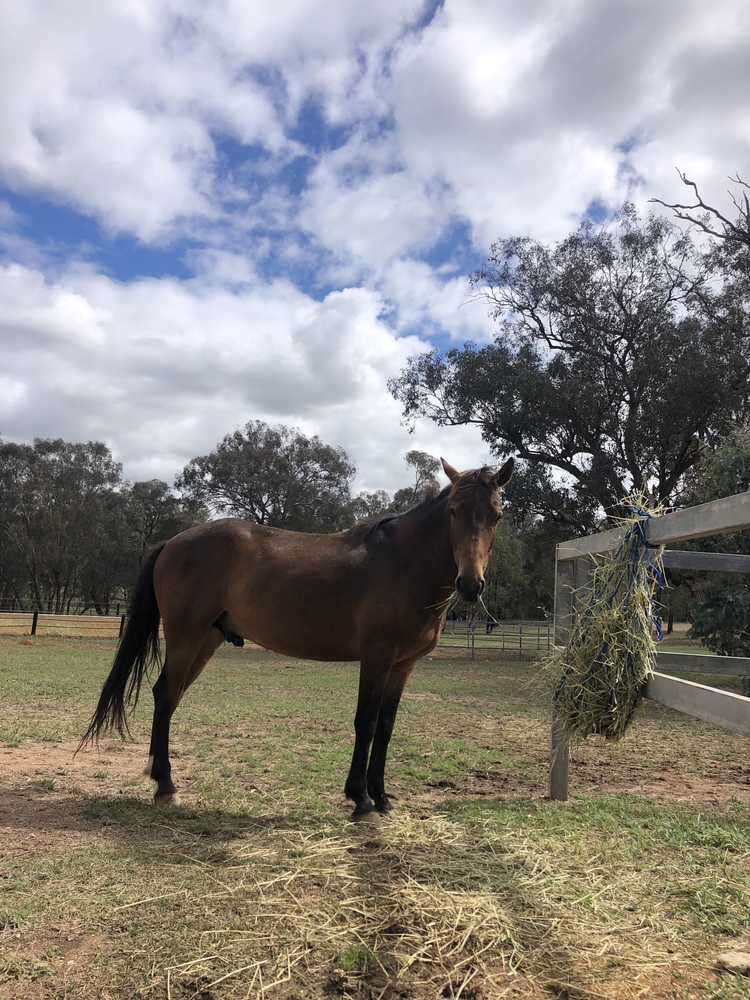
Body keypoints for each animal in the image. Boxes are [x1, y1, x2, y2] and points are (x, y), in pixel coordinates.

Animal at [80, 457, 514, 818]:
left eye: (496, 515)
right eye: (454, 511)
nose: (471, 584)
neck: (403, 563)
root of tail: (172, 541)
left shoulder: (403, 665)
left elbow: (386, 726)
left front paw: (382, 797)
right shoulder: (377, 656)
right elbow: (366, 721)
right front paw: (361, 799)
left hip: (206, 640)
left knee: (168, 697)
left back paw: (159, 778)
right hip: (187, 636)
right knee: (167, 695)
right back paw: (166, 786)